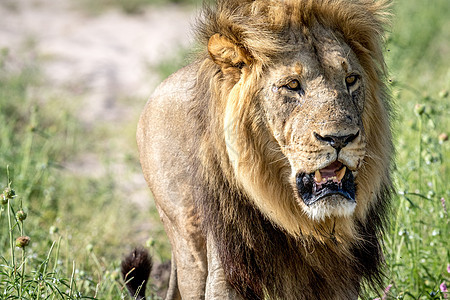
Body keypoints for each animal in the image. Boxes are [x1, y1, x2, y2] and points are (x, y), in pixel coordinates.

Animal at [131, 0, 394, 298]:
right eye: (292, 85)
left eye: (351, 79)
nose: (340, 138)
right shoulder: (227, 268)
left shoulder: (339, 279)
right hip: (189, 245)